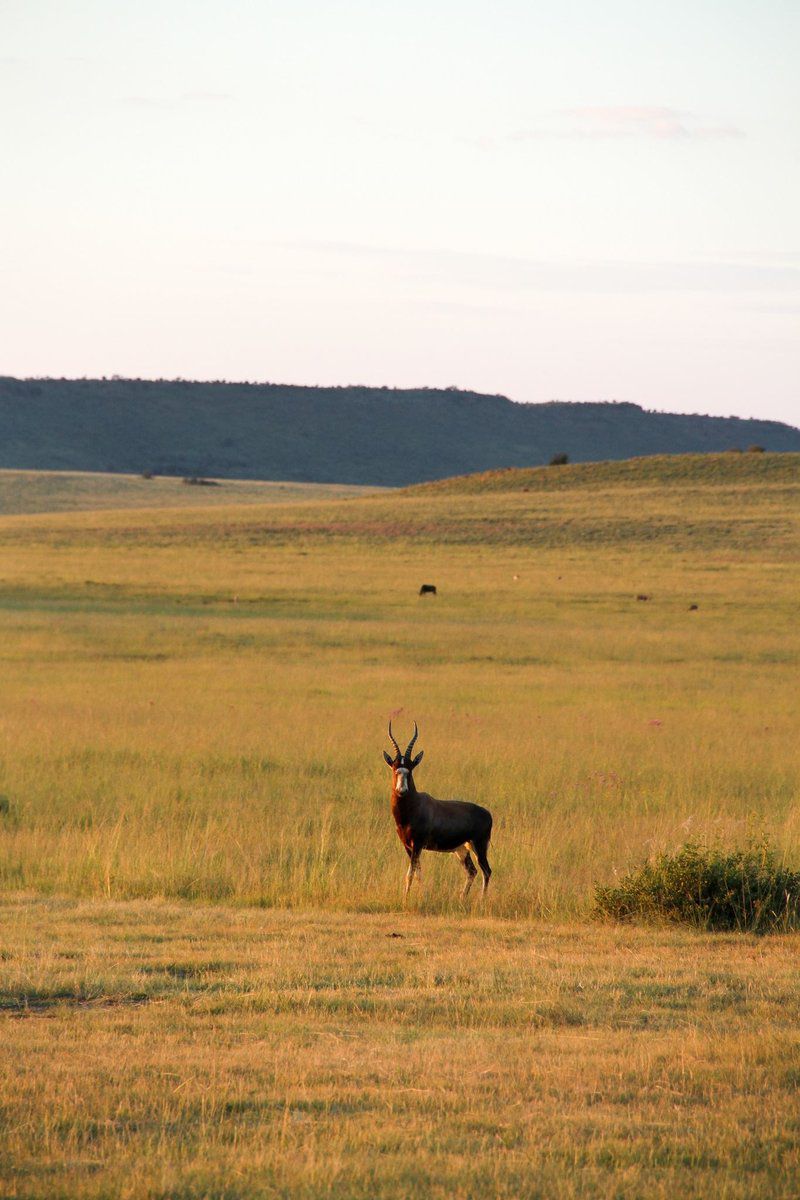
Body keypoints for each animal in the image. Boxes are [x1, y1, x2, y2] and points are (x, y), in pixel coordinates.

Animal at [383, 720, 491, 902]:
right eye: (395, 768)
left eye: (410, 770)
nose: (402, 791)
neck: (413, 808)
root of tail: (488, 814)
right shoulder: (408, 846)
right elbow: (417, 873)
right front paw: (422, 896)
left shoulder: (418, 844)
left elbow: (410, 874)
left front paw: (405, 899)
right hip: (462, 849)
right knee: (472, 871)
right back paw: (461, 898)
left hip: (479, 846)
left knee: (486, 871)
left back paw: (480, 900)